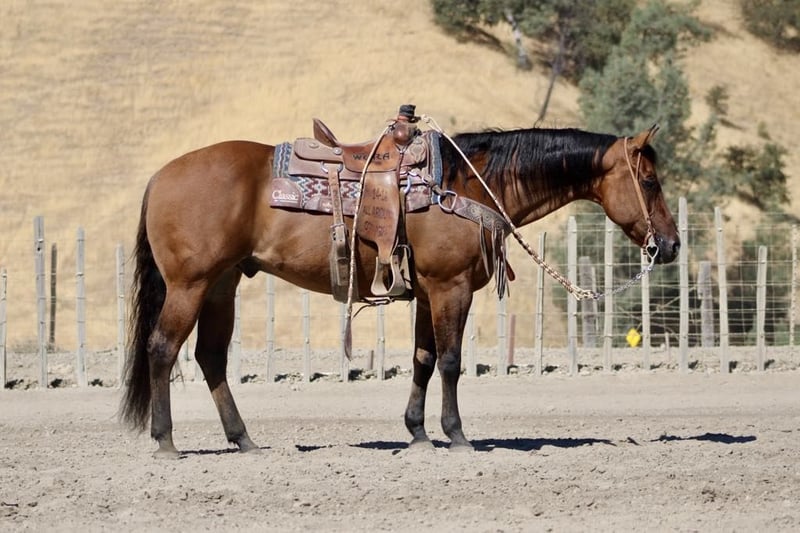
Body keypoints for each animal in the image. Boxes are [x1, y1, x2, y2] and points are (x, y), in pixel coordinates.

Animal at [120, 115, 680, 457]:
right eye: (650, 181)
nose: (671, 245)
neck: (467, 183)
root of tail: (160, 176)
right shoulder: (452, 287)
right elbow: (451, 362)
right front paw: (456, 436)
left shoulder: (429, 292)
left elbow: (423, 360)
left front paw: (417, 434)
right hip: (190, 285)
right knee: (162, 348)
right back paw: (166, 442)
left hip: (222, 285)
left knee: (210, 357)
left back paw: (244, 440)